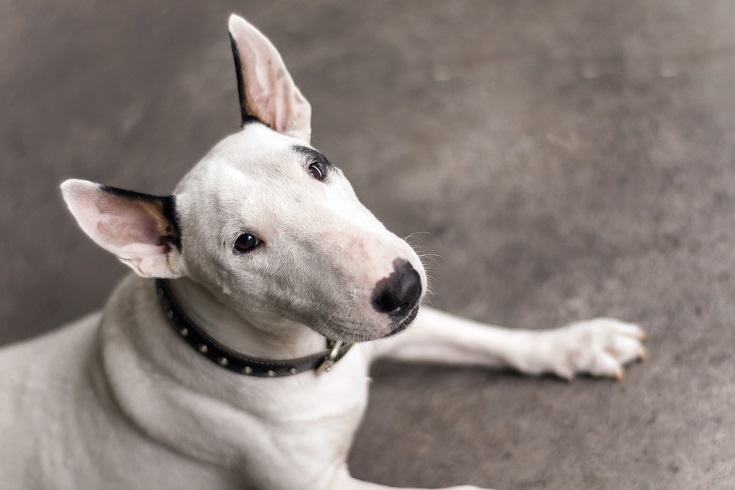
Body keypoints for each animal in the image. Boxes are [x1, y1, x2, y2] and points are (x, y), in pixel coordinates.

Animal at [0, 15, 644, 490]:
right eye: (245, 243)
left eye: (316, 166)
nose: (402, 287)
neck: (298, 358)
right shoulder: (317, 484)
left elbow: (485, 337)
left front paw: (576, 343)